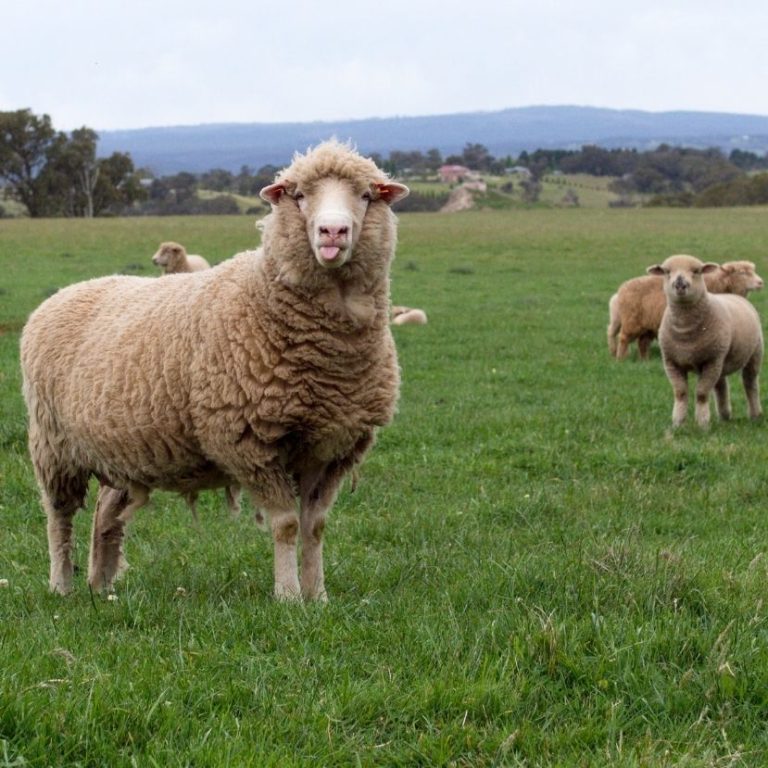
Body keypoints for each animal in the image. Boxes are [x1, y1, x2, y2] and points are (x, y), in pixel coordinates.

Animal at [20, 140, 409, 600]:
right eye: (298, 196)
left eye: (367, 196)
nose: (333, 233)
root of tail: (63, 294)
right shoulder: (249, 442)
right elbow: (286, 524)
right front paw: (289, 596)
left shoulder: (334, 447)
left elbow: (314, 527)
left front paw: (319, 596)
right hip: (54, 446)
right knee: (58, 517)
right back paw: (62, 585)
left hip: (120, 451)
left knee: (105, 512)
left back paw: (102, 585)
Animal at [608, 260, 763, 360]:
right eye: (742, 273)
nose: (761, 282)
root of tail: (622, 288)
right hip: (632, 320)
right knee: (622, 337)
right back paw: (620, 358)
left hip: (646, 325)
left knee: (641, 342)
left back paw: (643, 361)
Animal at [647, 254, 763, 429]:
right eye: (667, 272)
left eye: (697, 271)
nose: (680, 284)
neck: (686, 334)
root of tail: (735, 295)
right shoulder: (672, 362)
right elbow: (680, 392)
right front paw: (678, 423)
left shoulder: (710, 360)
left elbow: (701, 393)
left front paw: (702, 423)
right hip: (720, 359)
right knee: (721, 385)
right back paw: (724, 416)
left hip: (753, 353)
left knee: (750, 383)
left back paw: (755, 414)